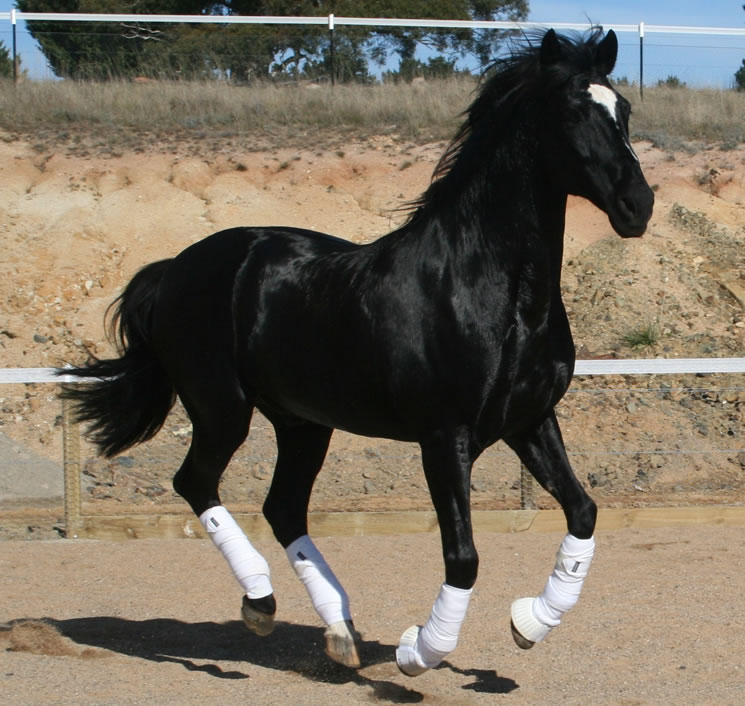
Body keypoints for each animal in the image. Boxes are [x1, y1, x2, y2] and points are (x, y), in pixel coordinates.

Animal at [59, 27, 654, 676]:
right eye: (573, 111)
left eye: (623, 109)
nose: (638, 205)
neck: (490, 292)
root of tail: (173, 269)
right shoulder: (445, 437)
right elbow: (463, 556)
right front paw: (418, 650)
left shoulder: (529, 421)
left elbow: (583, 511)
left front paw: (530, 623)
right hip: (222, 409)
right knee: (196, 483)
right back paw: (261, 602)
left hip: (302, 423)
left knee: (283, 508)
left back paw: (339, 629)